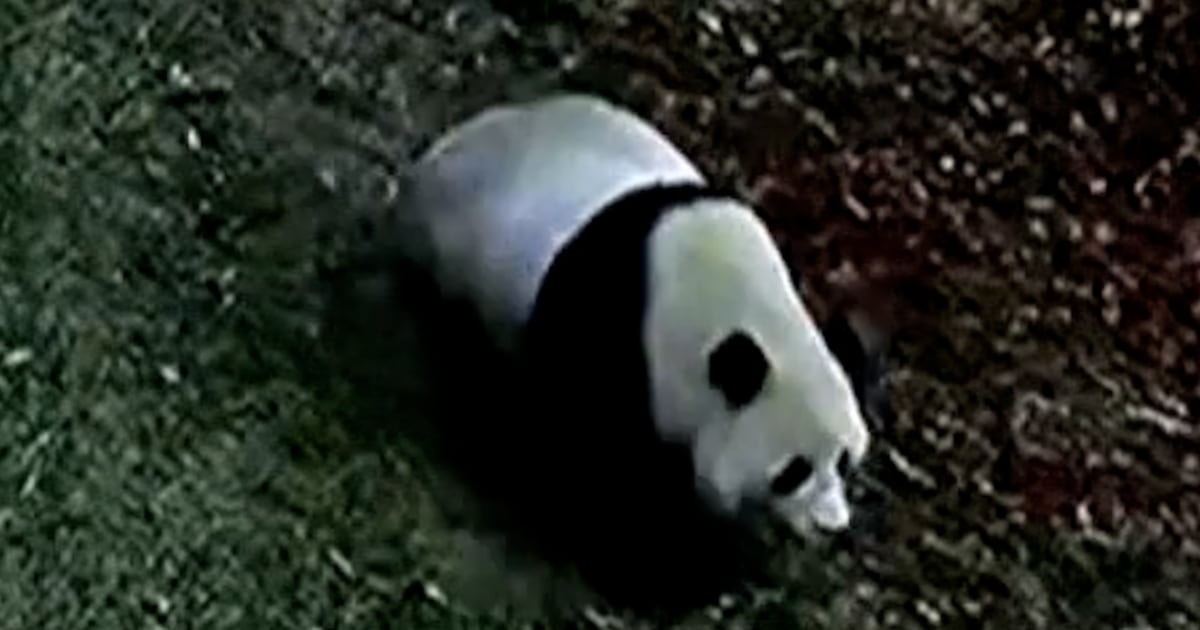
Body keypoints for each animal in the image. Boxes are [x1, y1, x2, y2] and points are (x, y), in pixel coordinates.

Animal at [383, 93, 877, 604]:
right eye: (794, 470)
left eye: (845, 459)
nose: (832, 526)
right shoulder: (609, 340)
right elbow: (599, 462)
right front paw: (655, 571)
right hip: (456, 266)